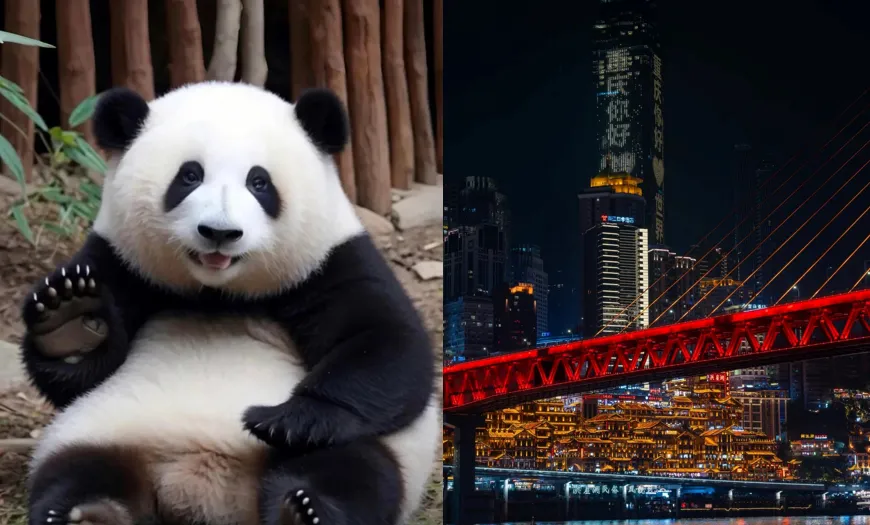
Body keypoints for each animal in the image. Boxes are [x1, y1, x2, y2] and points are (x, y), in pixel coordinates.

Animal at [20, 82, 440, 525]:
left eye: (259, 182)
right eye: (189, 176)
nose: (220, 232)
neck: (218, 293)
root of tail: (207, 489)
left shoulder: (330, 262)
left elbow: (388, 346)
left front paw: (287, 419)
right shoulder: (120, 262)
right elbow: (76, 378)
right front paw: (71, 318)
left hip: (364, 448)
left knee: (353, 470)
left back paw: (305, 508)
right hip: (98, 430)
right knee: (77, 471)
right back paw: (92, 513)